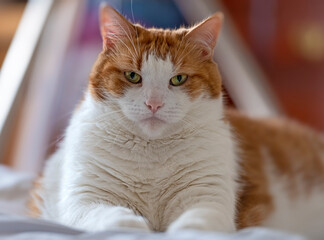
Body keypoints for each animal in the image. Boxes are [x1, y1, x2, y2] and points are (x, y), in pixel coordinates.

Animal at [29, 4, 322, 240]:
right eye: (133, 76)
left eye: (178, 79)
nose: (154, 103)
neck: (150, 156)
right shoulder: (86, 199)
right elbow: (117, 221)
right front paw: (134, 228)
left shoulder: (208, 199)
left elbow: (192, 225)